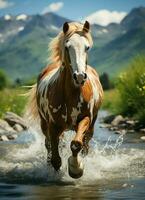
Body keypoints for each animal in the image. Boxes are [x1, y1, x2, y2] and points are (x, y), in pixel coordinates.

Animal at [27, 21, 103, 179]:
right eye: (68, 47)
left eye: (87, 47)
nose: (79, 76)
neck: (72, 94)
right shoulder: (53, 125)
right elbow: (56, 158)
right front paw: (56, 172)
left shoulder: (85, 119)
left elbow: (76, 144)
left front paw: (76, 168)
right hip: (45, 124)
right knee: (49, 145)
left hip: (91, 126)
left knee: (85, 145)